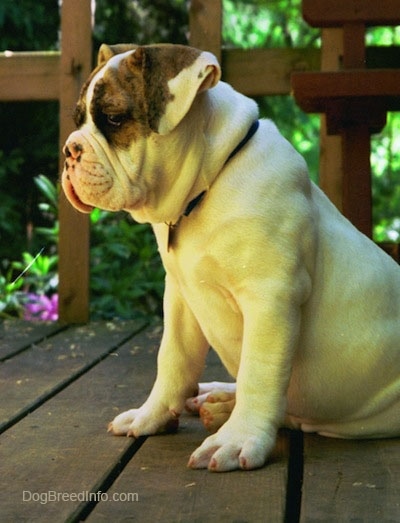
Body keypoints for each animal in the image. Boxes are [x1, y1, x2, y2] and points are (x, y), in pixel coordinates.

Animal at [61, 43, 400, 472]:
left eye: (114, 118)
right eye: (79, 119)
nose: (69, 150)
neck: (204, 188)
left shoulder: (270, 299)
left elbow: (260, 375)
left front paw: (237, 440)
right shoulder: (181, 297)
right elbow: (172, 359)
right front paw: (150, 416)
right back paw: (217, 397)